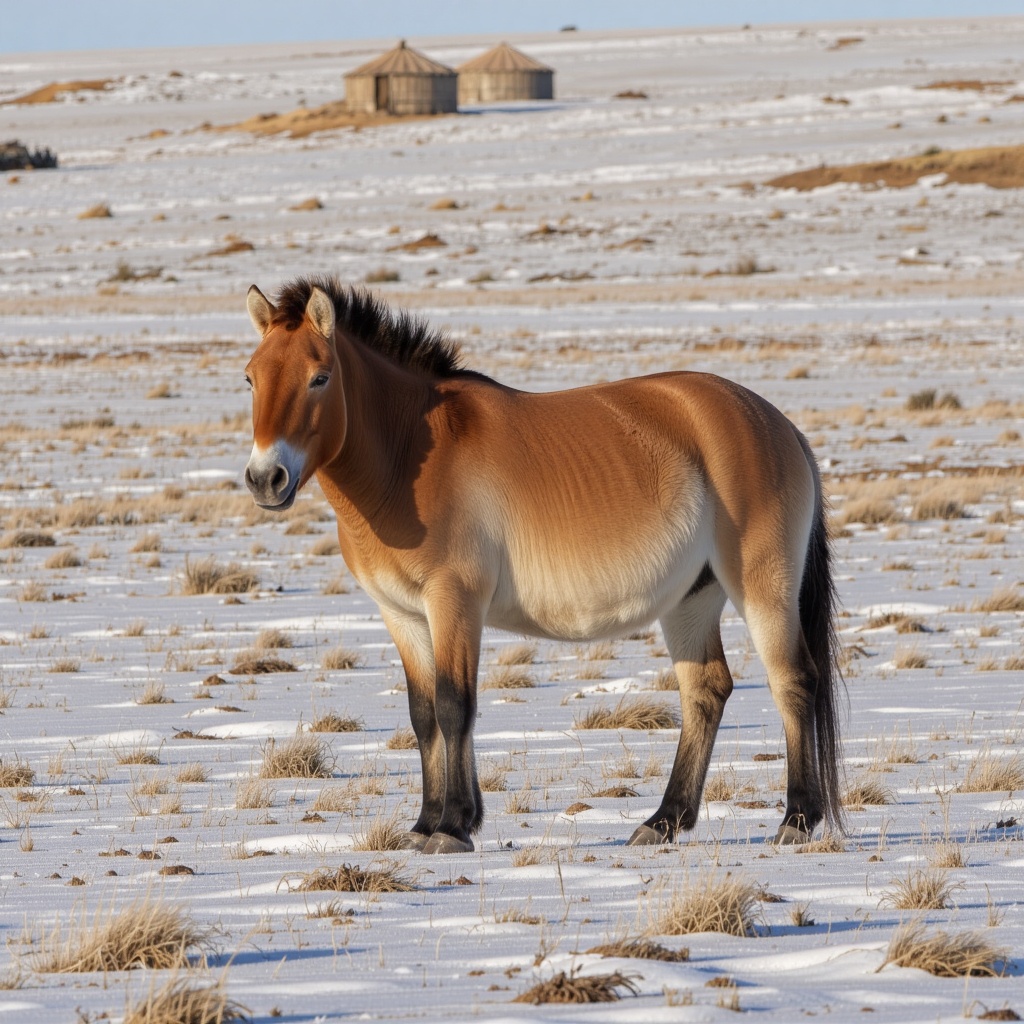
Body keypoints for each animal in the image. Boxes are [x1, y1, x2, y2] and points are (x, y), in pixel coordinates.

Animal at [242, 275, 844, 854]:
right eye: (250, 378)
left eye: (319, 378)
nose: (266, 479)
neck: (409, 455)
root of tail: (780, 425)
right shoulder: (403, 614)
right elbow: (423, 714)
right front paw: (426, 823)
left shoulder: (454, 602)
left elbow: (454, 705)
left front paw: (453, 827)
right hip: (691, 600)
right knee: (705, 692)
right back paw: (663, 821)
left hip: (762, 586)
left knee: (792, 680)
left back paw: (796, 820)